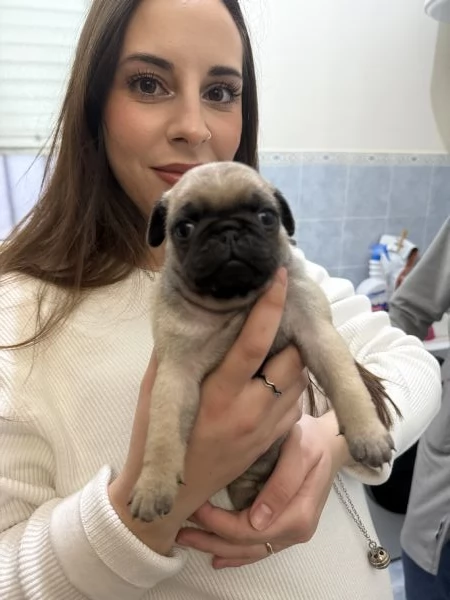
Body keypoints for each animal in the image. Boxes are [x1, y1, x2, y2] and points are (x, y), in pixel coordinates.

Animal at [130, 161, 398, 523]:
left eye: (266, 217)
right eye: (184, 228)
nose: (227, 231)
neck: (237, 302)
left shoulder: (317, 333)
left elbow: (348, 385)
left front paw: (367, 434)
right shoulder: (176, 373)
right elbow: (162, 434)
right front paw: (153, 484)